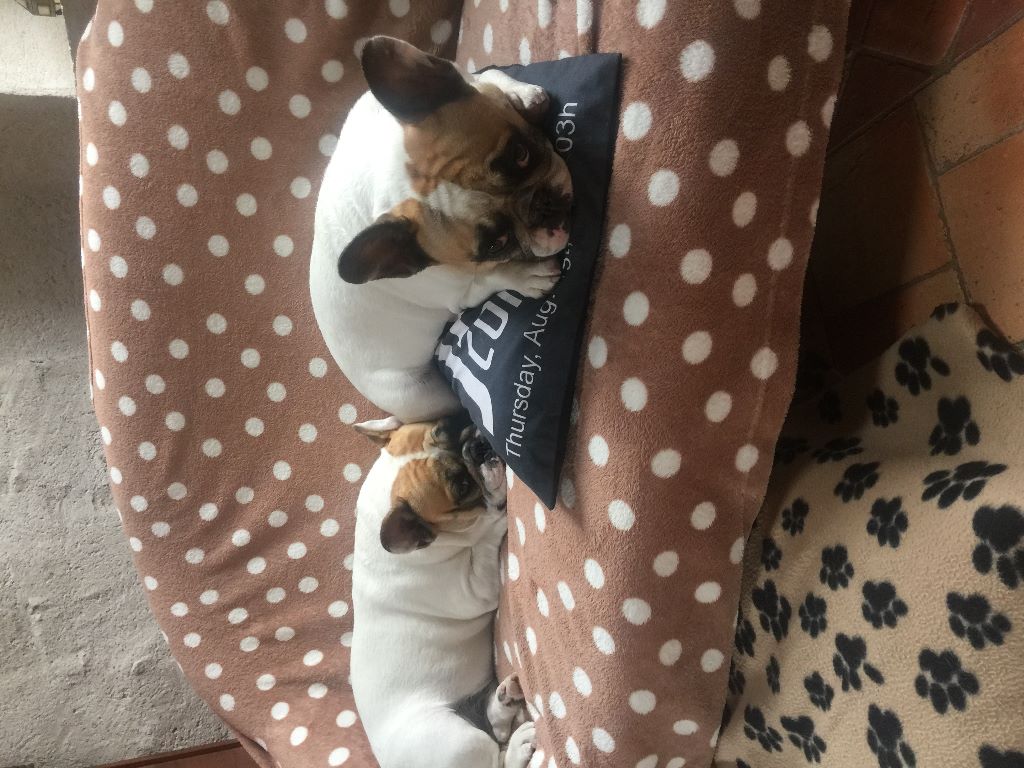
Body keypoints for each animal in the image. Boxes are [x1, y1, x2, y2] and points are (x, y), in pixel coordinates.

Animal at [310, 36, 573, 423]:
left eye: (520, 154)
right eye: (496, 245)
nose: (541, 206)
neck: (393, 174)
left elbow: (482, 77)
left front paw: (517, 94)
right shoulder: (460, 291)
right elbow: (494, 277)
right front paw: (528, 276)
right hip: (419, 394)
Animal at [349, 412, 535, 768]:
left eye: (449, 423)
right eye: (462, 487)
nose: (479, 446)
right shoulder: (474, 590)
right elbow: (484, 545)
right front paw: (492, 521)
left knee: (496, 727)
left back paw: (504, 700)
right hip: (458, 741)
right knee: (496, 757)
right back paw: (520, 745)